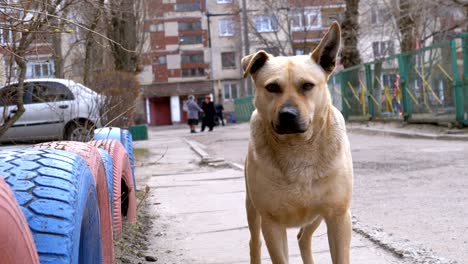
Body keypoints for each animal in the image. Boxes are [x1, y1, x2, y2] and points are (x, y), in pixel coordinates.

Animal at [243, 22, 352, 264]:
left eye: (307, 85)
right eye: (272, 87)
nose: (288, 115)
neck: (298, 146)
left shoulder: (338, 216)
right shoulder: (271, 222)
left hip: (317, 216)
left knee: (303, 237)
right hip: (252, 210)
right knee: (254, 243)